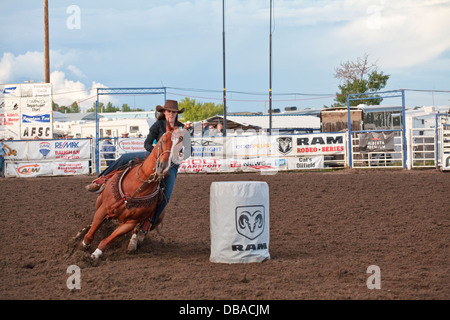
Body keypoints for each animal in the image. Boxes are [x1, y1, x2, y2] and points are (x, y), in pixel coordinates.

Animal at [79, 123, 186, 260]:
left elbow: (108, 240)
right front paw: (84, 245)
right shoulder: (103, 209)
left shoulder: (129, 223)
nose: (162, 166)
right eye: (163, 140)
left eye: (179, 147)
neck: (138, 187)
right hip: (100, 201)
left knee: (137, 231)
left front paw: (95, 255)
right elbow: (91, 232)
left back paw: (133, 243)